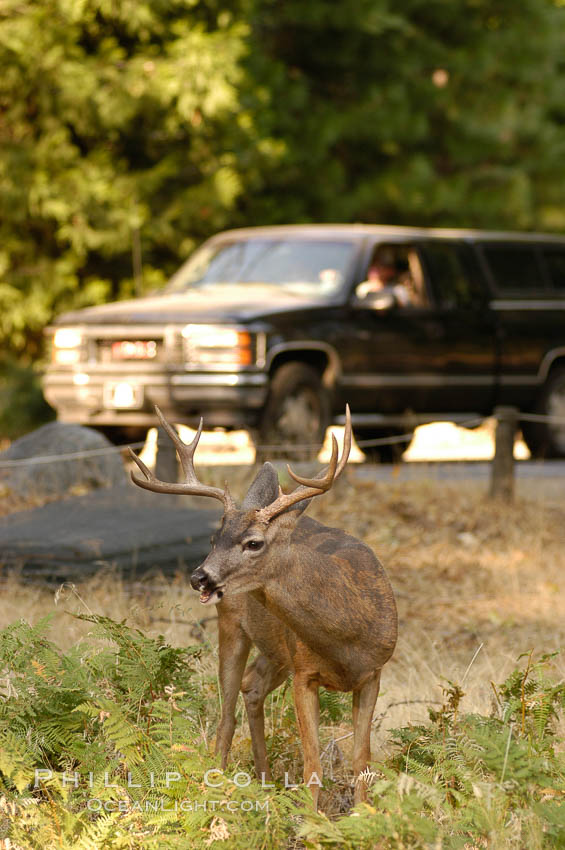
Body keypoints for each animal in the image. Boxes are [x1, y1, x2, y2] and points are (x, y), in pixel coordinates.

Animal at [131, 408, 396, 804]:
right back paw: (223, 785)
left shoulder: (373, 672)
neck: (346, 637)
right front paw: (312, 817)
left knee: (252, 687)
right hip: (234, 627)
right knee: (226, 717)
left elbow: (362, 759)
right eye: (214, 538)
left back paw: (265, 779)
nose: (200, 577)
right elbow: (313, 765)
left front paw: (365, 813)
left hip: (276, 649)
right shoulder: (304, 672)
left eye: (253, 543)